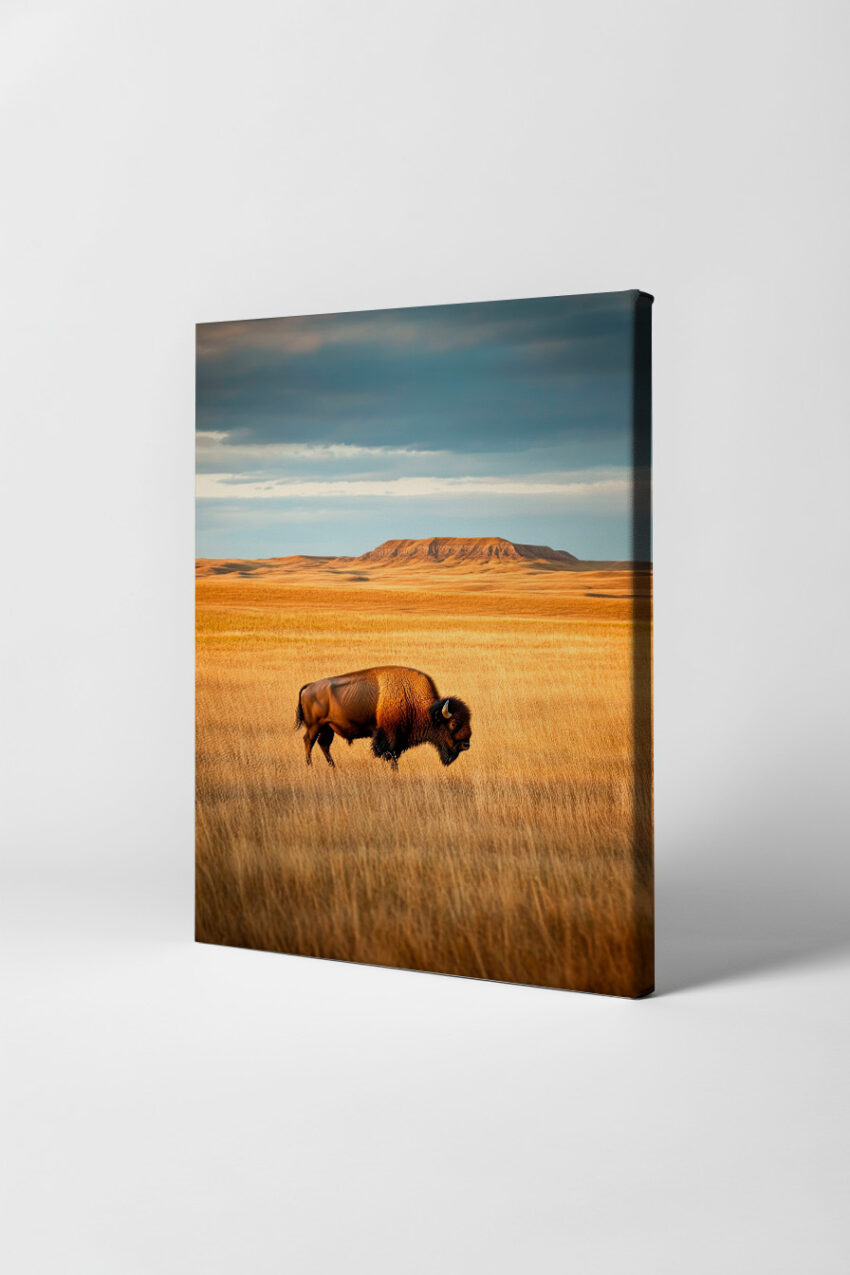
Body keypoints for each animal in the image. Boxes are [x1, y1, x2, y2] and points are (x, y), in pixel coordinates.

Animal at [295, 665, 472, 770]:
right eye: (454, 723)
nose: (465, 745)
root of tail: (310, 686)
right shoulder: (389, 736)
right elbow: (388, 754)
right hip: (314, 725)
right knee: (308, 741)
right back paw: (309, 765)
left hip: (327, 727)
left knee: (323, 744)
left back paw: (333, 767)